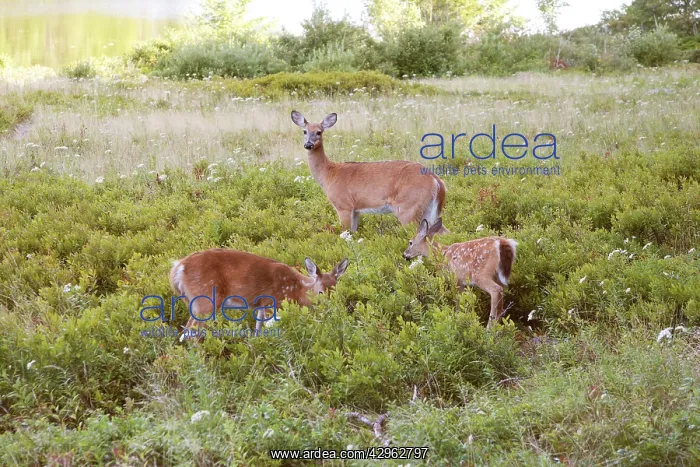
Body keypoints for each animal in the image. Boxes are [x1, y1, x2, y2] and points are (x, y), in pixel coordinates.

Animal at [169, 248, 349, 340]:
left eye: (336, 290)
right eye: (320, 291)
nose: (332, 309)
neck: (297, 290)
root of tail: (178, 267)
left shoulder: (261, 306)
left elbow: (258, 329)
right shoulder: (273, 303)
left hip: (194, 301)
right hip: (206, 299)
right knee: (191, 331)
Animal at [291, 110, 448, 234]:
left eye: (319, 132)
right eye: (304, 131)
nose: (308, 144)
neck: (329, 174)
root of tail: (436, 180)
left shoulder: (343, 205)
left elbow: (345, 233)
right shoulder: (356, 210)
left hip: (408, 207)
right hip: (430, 211)